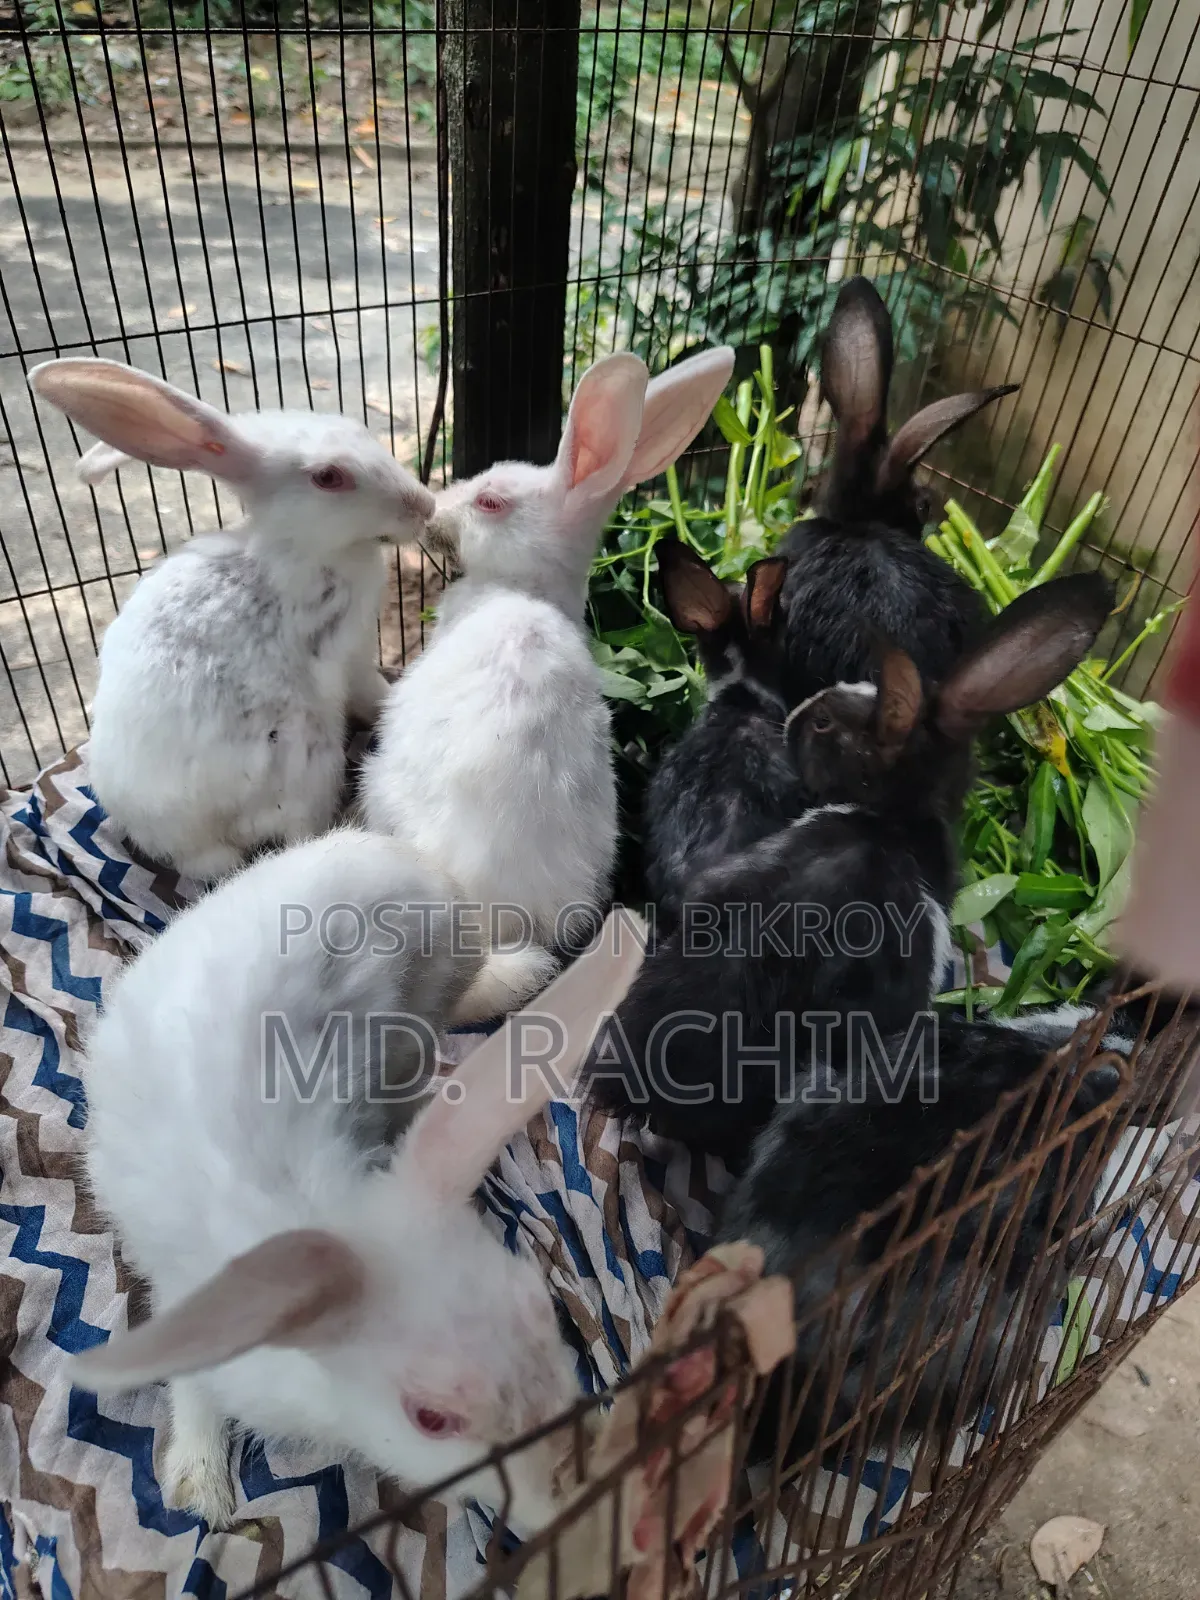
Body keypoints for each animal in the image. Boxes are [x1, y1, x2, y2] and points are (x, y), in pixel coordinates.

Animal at [28, 358, 435, 882]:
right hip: (307, 752)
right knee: (300, 830)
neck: (302, 546)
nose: (425, 505)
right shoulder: (350, 655)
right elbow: (375, 693)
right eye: (329, 477)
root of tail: (196, 842)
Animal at [72, 831, 645, 1533]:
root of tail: (379, 850)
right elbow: (191, 1383)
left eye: (544, 1309)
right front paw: (199, 1488)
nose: (579, 1499)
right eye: (430, 1419)